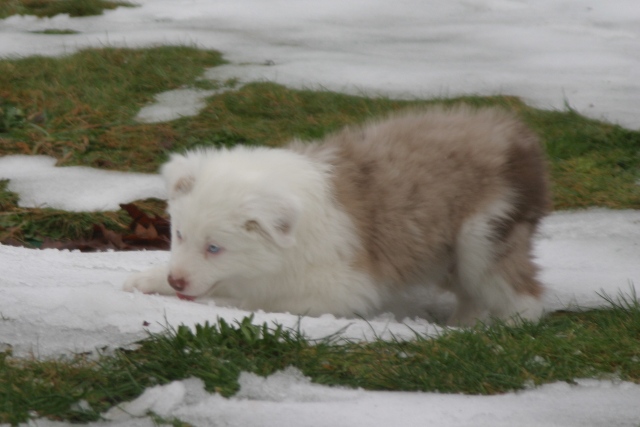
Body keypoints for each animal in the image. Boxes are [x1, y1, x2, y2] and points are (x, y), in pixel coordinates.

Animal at [124, 106, 550, 325]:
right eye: (178, 235)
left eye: (215, 248)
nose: (177, 281)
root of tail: (519, 133)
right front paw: (144, 280)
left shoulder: (338, 288)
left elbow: (255, 299)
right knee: (472, 293)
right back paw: (459, 326)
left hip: (484, 236)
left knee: (518, 291)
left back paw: (504, 329)